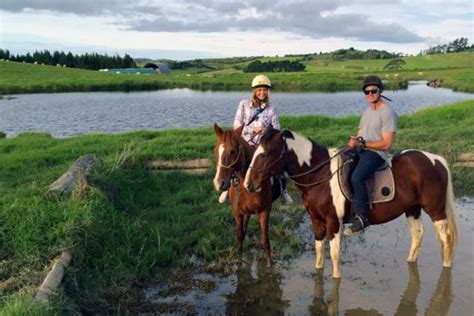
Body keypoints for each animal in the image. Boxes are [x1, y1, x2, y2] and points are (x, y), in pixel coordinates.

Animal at [212, 123, 278, 266]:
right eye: (215, 151)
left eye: (232, 151)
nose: (219, 183)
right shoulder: (237, 212)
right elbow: (240, 237)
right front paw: (239, 260)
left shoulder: (264, 211)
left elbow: (265, 242)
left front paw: (269, 266)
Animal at [243, 128, 458, 276]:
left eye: (266, 153)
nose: (248, 184)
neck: (320, 175)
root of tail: (436, 160)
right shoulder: (317, 221)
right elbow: (319, 251)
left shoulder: (333, 222)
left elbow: (334, 254)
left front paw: (336, 279)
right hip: (412, 209)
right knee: (418, 234)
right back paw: (410, 261)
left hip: (435, 210)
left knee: (446, 237)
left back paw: (447, 267)